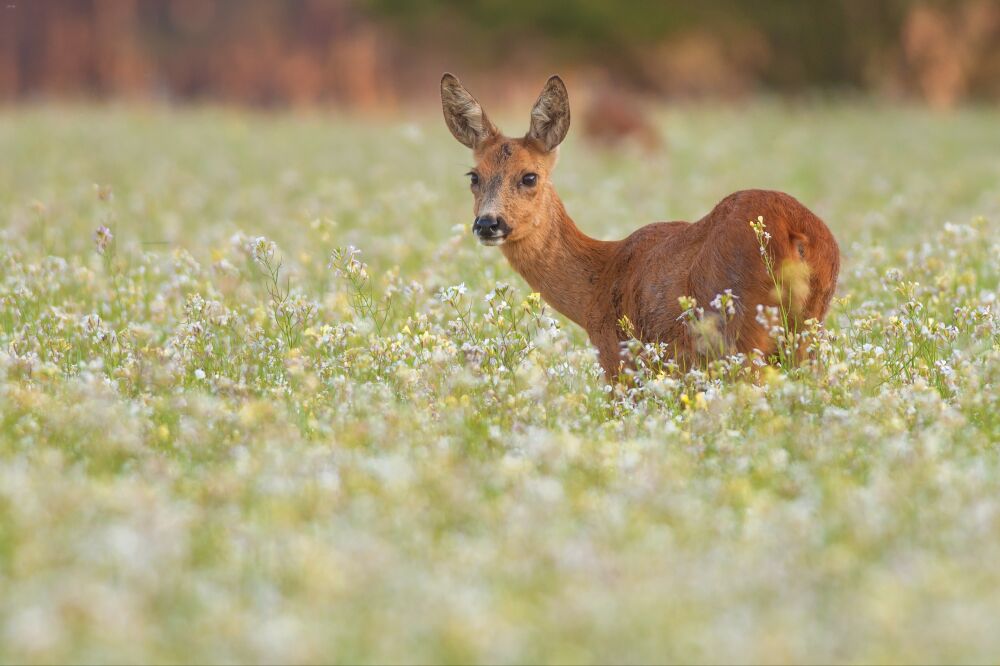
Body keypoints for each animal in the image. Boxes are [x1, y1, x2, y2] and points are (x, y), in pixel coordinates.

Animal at [442, 73, 840, 382]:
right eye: (474, 176)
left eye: (529, 176)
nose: (488, 223)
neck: (597, 283)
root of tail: (794, 231)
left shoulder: (618, 359)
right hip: (807, 330)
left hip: (740, 333)